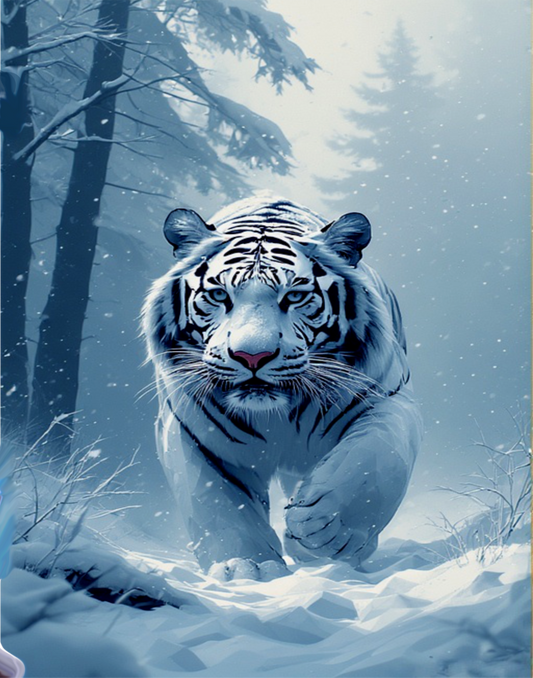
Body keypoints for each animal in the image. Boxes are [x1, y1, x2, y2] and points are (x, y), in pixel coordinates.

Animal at [142, 196, 423, 581]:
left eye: (296, 296)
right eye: (219, 295)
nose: (252, 356)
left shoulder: (388, 398)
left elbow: (375, 458)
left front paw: (323, 529)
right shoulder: (191, 430)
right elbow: (217, 502)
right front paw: (247, 566)